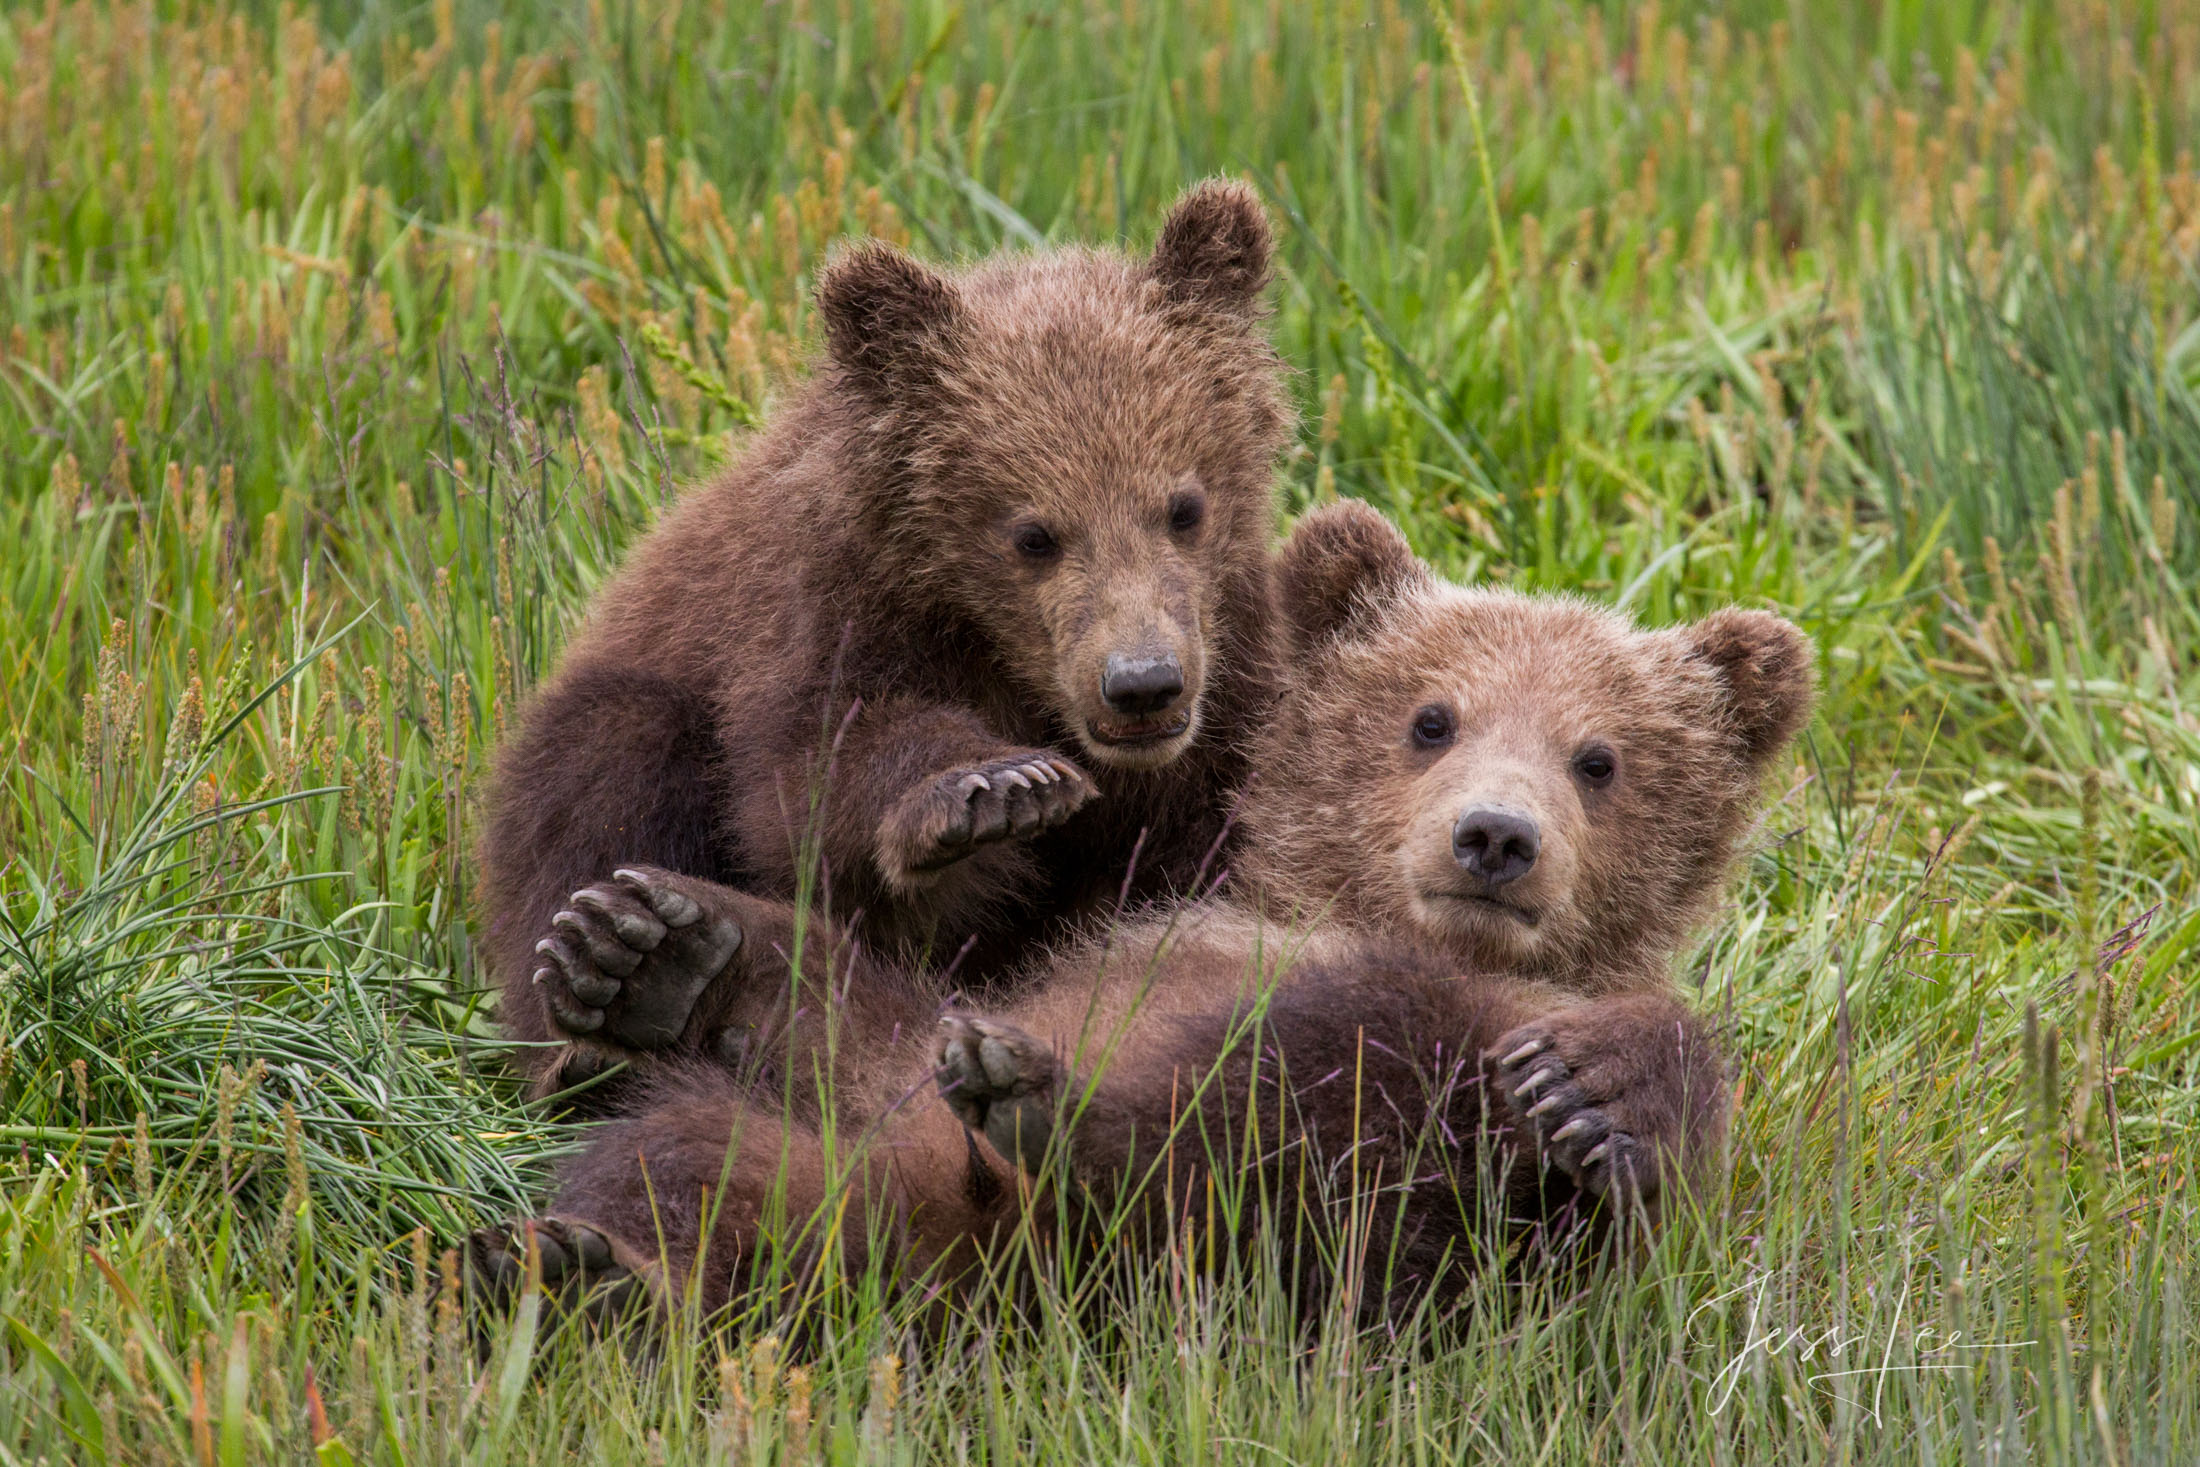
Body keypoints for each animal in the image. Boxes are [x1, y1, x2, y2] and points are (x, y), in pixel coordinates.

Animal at [463, 501, 1816, 1325]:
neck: (1342, 914)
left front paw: (1596, 1083)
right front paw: (663, 945)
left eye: (1599, 759)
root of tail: (977, 1260)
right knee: (692, 1164)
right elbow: (877, 1013)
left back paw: (1053, 1116)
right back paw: (595, 1243)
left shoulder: (1511, 1116)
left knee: (1293, 1093)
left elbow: (1619, 1166)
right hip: (845, 1188)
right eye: (1431, 717)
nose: (1494, 836)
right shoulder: (1144, 928)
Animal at [480, 180, 1293, 1099]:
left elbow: (1197, 852)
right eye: (1034, 534)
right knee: (601, 765)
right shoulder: (827, 615)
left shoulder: (1227, 686)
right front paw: (995, 788)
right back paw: (608, 1003)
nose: (1142, 682)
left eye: (1184, 506)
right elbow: (823, 778)